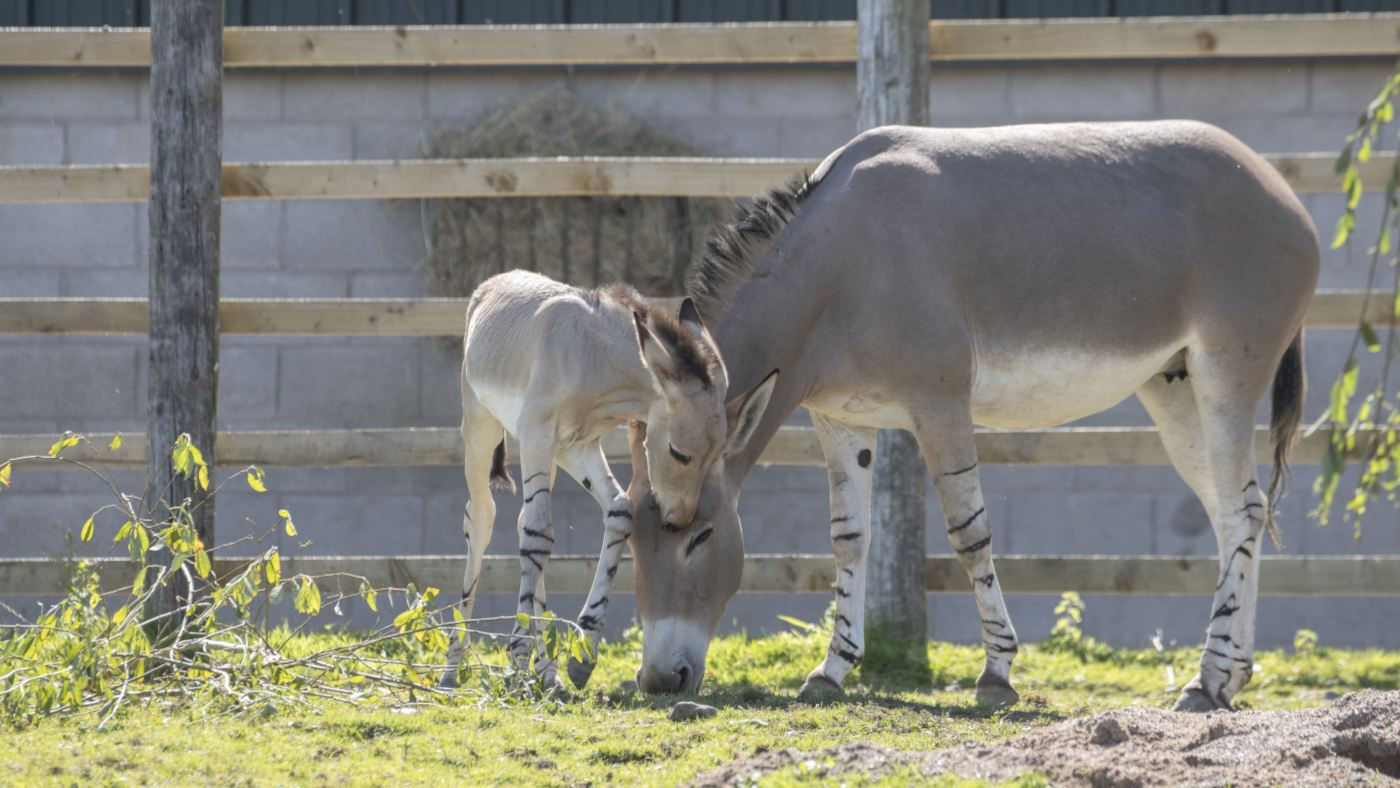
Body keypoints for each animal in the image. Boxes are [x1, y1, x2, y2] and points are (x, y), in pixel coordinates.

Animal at [438, 270, 776, 689]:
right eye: (679, 453)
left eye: (718, 456)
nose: (678, 521)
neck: (590, 356)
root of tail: (493, 283)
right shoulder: (538, 434)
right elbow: (538, 536)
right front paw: (517, 655)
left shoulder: (576, 446)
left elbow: (617, 512)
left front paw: (582, 652)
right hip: (481, 429)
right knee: (483, 517)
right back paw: (453, 667)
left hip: (549, 455)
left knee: (523, 522)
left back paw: (547, 671)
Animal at [621, 120, 1318, 712]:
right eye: (629, 536)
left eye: (703, 535)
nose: (659, 681)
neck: (845, 262)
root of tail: (1276, 184)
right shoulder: (841, 418)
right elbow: (849, 537)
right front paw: (831, 670)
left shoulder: (941, 404)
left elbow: (968, 533)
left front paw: (997, 674)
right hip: (1173, 387)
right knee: (1233, 512)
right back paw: (1232, 674)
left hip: (1226, 376)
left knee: (1243, 508)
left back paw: (1205, 681)